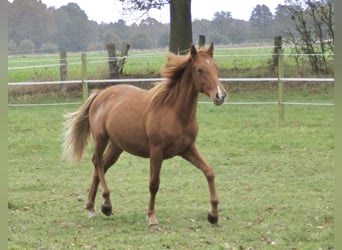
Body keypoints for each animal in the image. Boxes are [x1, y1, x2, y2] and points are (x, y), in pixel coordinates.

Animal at [62, 43, 227, 225]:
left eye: (216, 67)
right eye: (199, 69)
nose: (220, 95)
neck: (174, 112)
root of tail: (100, 94)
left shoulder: (188, 149)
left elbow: (209, 172)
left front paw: (213, 214)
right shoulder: (156, 152)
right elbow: (154, 183)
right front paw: (151, 216)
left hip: (116, 147)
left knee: (101, 167)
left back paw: (91, 207)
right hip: (101, 139)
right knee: (97, 163)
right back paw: (106, 204)